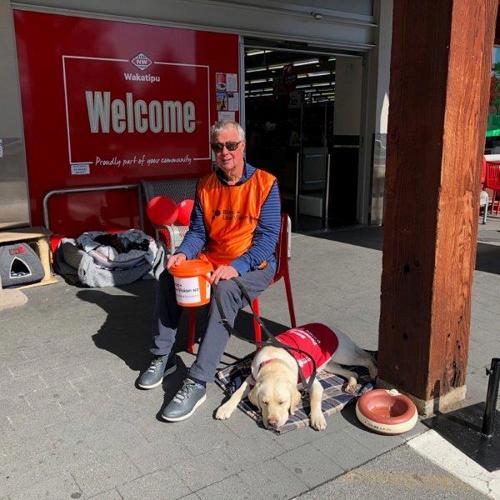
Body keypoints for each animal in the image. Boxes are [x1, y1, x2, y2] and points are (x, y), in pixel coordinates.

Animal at [215, 323, 377, 431]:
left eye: (282, 402)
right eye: (264, 402)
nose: (272, 423)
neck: (276, 363)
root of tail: (330, 326)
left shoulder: (313, 383)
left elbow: (315, 399)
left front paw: (317, 418)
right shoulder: (252, 377)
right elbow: (238, 392)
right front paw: (225, 408)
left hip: (343, 355)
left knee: (367, 358)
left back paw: (374, 371)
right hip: (328, 363)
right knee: (353, 372)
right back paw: (351, 384)